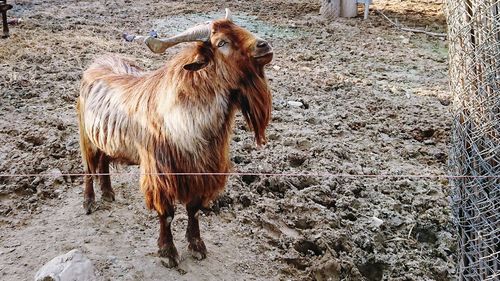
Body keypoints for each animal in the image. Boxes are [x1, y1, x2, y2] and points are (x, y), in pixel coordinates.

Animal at [77, 9, 272, 266]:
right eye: (222, 43)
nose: (264, 45)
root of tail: (95, 65)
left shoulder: (201, 171)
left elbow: (194, 209)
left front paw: (197, 245)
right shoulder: (162, 174)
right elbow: (167, 214)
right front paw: (168, 252)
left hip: (108, 139)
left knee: (104, 163)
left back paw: (109, 194)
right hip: (87, 137)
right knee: (89, 169)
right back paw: (89, 202)